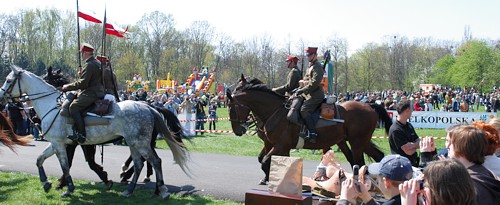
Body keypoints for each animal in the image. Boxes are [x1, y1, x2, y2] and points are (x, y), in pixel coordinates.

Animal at [0, 65, 191, 199]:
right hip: (134, 143)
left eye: (8, 80)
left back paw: (161, 190)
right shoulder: (57, 143)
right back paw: (129, 189)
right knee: (139, 163)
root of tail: (148, 107)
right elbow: (40, 159)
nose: (1, 97)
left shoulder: (63, 144)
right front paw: (47, 183)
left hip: (141, 143)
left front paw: (67, 187)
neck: (53, 106)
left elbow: (66, 165)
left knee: (154, 161)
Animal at [227, 75, 390, 184]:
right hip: (356, 142)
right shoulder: (273, 145)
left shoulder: (280, 146)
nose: (237, 130)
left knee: (359, 163)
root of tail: (369, 106)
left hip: (357, 143)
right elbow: (269, 161)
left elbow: (266, 161)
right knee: (376, 157)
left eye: (232, 107)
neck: (275, 111)